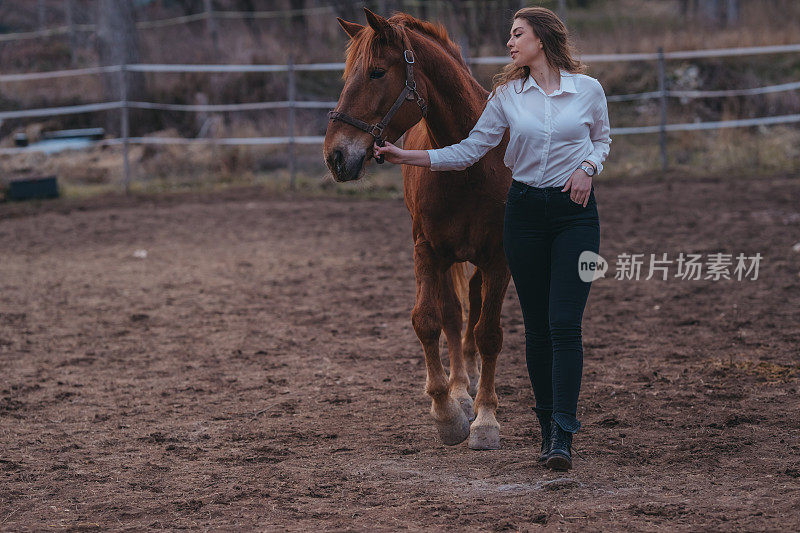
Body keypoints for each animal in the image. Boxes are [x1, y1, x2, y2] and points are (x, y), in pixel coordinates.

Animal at [324, 9, 512, 448]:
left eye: (376, 72)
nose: (335, 155)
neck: (469, 163)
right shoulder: (427, 250)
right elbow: (428, 320)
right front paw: (447, 411)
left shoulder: (499, 258)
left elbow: (489, 333)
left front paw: (486, 419)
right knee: (454, 315)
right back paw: (461, 390)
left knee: (473, 308)